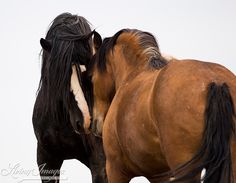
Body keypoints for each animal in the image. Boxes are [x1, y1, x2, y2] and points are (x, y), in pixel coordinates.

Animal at [85, 29, 236, 182]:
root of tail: (216, 81)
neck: (132, 75)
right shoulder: (159, 175)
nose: (95, 123)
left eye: (90, 77)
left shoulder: (115, 169)